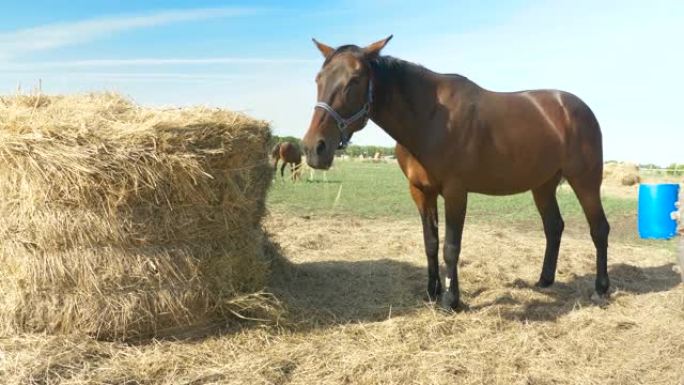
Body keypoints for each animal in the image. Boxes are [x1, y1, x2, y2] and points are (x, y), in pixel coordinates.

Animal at [302, 37, 612, 310]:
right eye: (318, 80)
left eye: (354, 80)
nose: (314, 148)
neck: (429, 119)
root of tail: (577, 108)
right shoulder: (420, 191)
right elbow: (430, 243)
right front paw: (431, 292)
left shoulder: (455, 192)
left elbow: (451, 246)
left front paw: (451, 301)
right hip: (543, 185)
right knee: (554, 226)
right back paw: (545, 281)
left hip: (585, 180)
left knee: (599, 229)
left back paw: (601, 289)